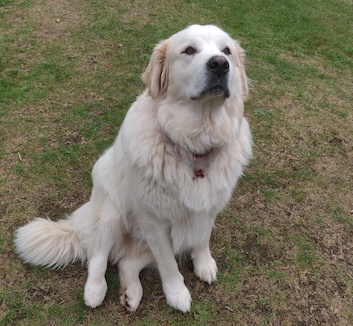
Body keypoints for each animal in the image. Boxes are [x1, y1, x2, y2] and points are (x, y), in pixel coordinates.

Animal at [14, 24, 250, 312]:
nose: (219, 64)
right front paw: (177, 293)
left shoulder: (208, 208)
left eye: (226, 51)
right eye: (189, 50)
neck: (195, 144)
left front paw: (204, 264)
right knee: (98, 257)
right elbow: (168, 265)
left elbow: (201, 239)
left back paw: (132, 293)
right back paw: (95, 290)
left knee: (126, 263)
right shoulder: (154, 222)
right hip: (112, 213)